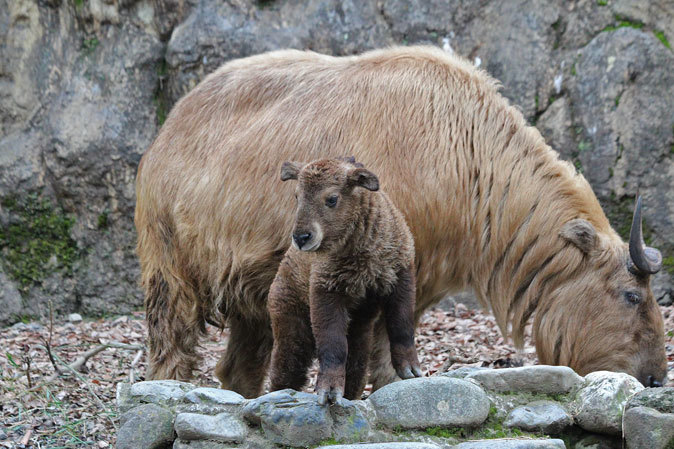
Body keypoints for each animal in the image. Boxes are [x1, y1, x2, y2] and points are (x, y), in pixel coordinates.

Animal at [268, 158, 420, 402]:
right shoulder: (326, 292)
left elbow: (403, 326)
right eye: (297, 196)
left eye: (332, 198)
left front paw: (410, 369)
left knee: (356, 372)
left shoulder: (401, 277)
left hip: (360, 334)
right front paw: (329, 390)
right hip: (291, 330)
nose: (301, 237)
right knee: (284, 373)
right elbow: (333, 346)